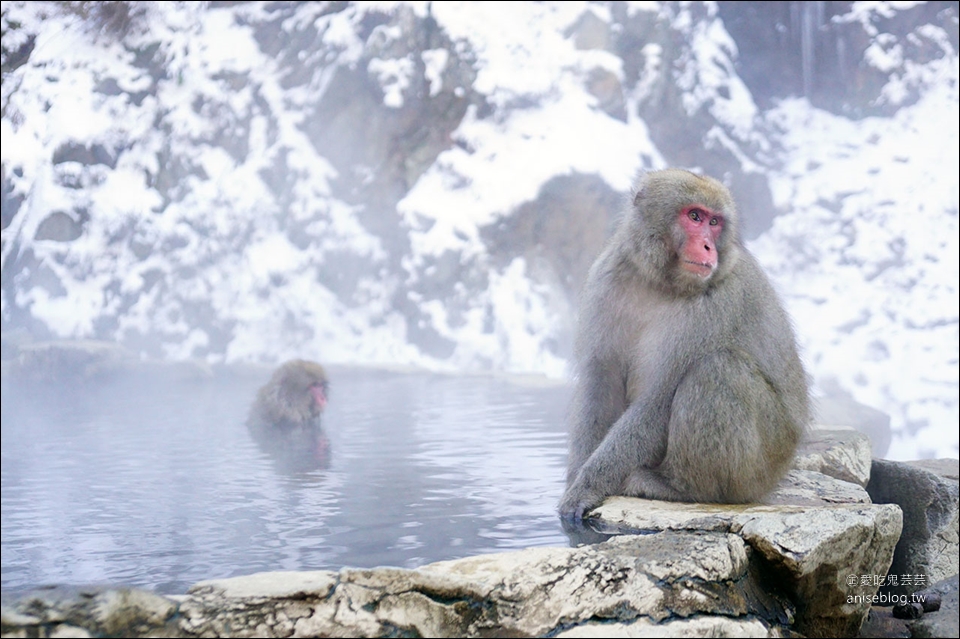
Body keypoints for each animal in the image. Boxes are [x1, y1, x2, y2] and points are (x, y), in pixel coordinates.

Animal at [560, 168, 808, 524]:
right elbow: (601, 381)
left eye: (715, 222)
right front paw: (575, 478)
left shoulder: (713, 304)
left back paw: (679, 487)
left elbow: (658, 401)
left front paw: (588, 486)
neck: (659, 282)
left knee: (719, 369)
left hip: (764, 461)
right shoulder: (605, 280)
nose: (708, 246)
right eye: (695, 216)